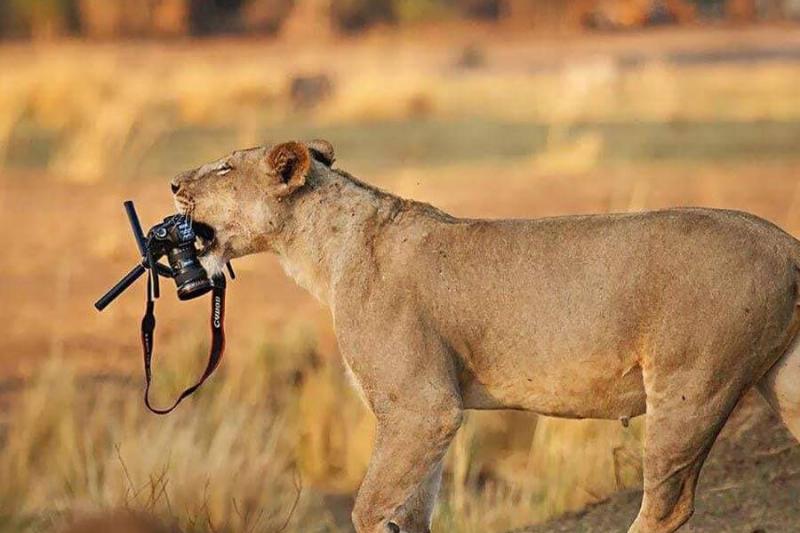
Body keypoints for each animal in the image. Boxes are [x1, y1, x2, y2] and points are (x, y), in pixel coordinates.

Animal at [170, 140, 800, 533]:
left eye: (226, 168)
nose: (173, 181)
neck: (323, 251)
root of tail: (787, 242)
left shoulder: (422, 406)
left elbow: (370, 507)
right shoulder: (426, 416)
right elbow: (409, 512)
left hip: (690, 390)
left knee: (667, 507)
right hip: (784, 383)